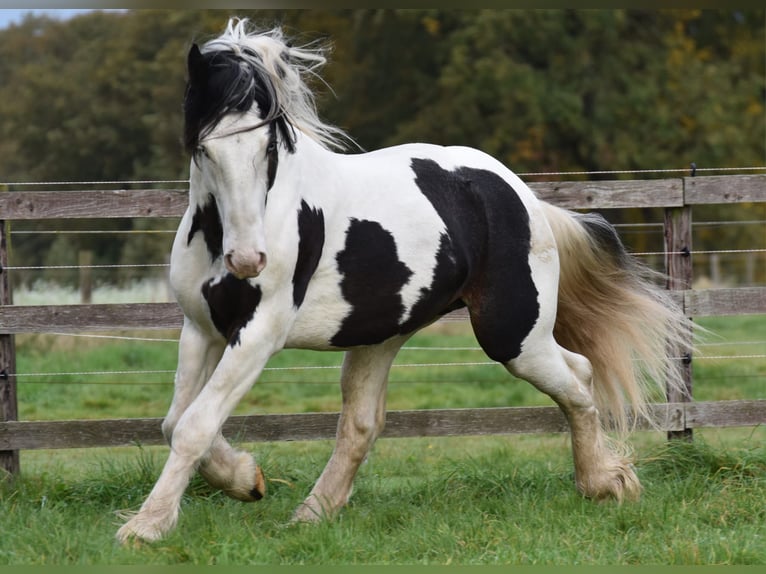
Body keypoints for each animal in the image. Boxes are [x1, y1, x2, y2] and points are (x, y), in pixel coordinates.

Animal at [115, 19, 688, 544]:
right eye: (204, 149)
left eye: (269, 149)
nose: (249, 260)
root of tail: (522, 195)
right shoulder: (202, 328)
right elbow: (176, 422)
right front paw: (245, 479)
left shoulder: (258, 334)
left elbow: (193, 425)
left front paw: (146, 527)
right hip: (382, 336)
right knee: (362, 424)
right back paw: (311, 515)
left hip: (512, 334)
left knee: (578, 376)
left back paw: (604, 483)